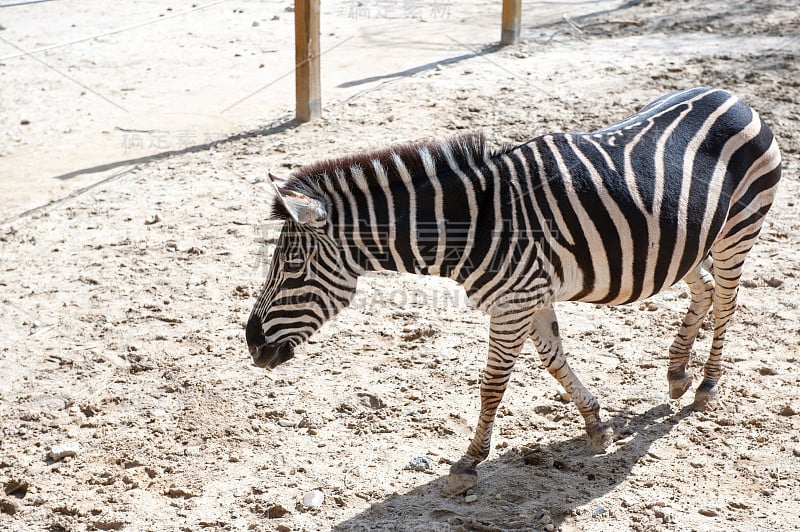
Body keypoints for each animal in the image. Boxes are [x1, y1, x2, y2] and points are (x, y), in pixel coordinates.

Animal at [245, 88, 780, 494]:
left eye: (291, 266)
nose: (251, 343)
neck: (475, 224)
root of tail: (731, 96)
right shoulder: (529, 298)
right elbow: (555, 362)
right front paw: (596, 425)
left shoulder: (514, 303)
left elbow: (492, 384)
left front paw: (469, 462)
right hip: (681, 245)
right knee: (705, 289)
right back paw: (676, 372)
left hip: (738, 229)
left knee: (727, 300)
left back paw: (706, 384)